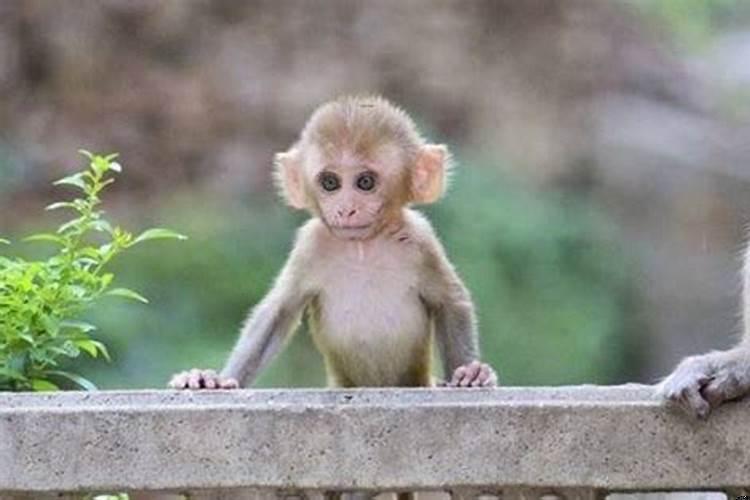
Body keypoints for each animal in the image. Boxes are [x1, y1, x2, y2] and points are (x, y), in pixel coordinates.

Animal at [172, 95, 500, 388]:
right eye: (330, 183)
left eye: (365, 182)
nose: (346, 209)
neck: (362, 247)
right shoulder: (309, 244)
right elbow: (278, 311)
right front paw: (213, 379)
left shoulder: (422, 239)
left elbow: (450, 302)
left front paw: (470, 374)